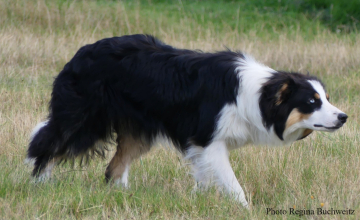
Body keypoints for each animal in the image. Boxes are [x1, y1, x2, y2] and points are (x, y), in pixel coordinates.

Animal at [25, 34, 346, 208]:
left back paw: (125, 196)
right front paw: (245, 209)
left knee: (114, 167)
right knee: (49, 142)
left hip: (138, 131)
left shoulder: (201, 146)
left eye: (327, 98)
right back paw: (39, 183)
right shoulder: (208, 139)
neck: (258, 95)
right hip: (85, 119)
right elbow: (232, 183)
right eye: (311, 102)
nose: (344, 117)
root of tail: (80, 52)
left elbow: (204, 179)